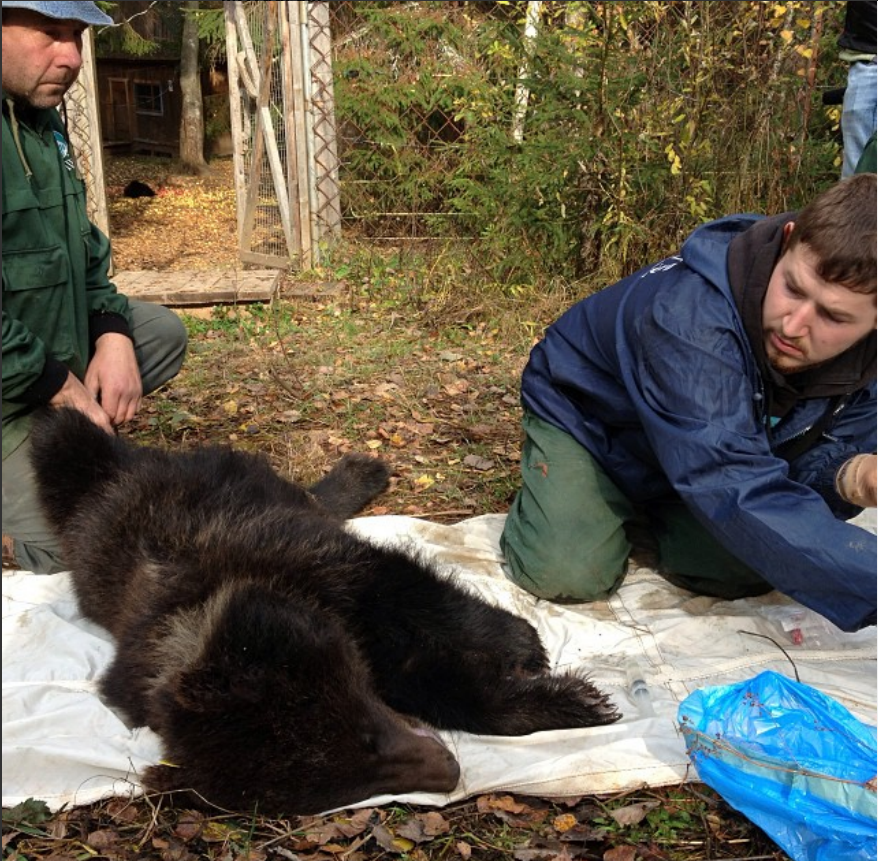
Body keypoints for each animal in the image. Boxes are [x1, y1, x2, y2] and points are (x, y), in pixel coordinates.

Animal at [27, 406, 620, 816]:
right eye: (343, 787)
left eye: (368, 735)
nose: (448, 771)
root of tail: (108, 482)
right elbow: (435, 682)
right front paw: (555, 698)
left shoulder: (312, 557)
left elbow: (420, 594)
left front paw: (525, 648)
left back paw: (360, 473)